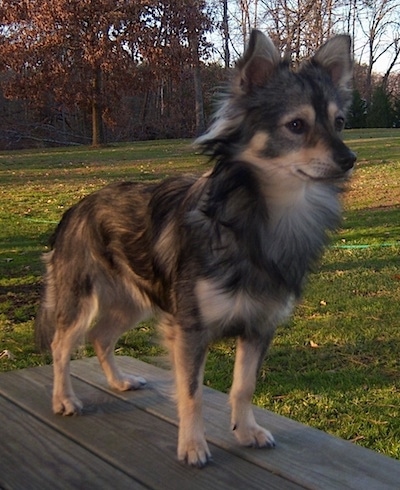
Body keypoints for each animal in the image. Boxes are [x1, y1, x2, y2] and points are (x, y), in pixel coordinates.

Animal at [35, 29, 356, 468]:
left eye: (339, 123)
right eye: (296, 125)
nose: (349, 159)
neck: (266, 218)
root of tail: (76, 207)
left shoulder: (259, 327)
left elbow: (243, 386)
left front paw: (246, 430)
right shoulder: (189, 329)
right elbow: (192, 392)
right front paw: (192, 444)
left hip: (131, 301)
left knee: (101, 337)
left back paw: (119, 381)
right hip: (80, 299)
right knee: (61, 345)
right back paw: (63, 398)